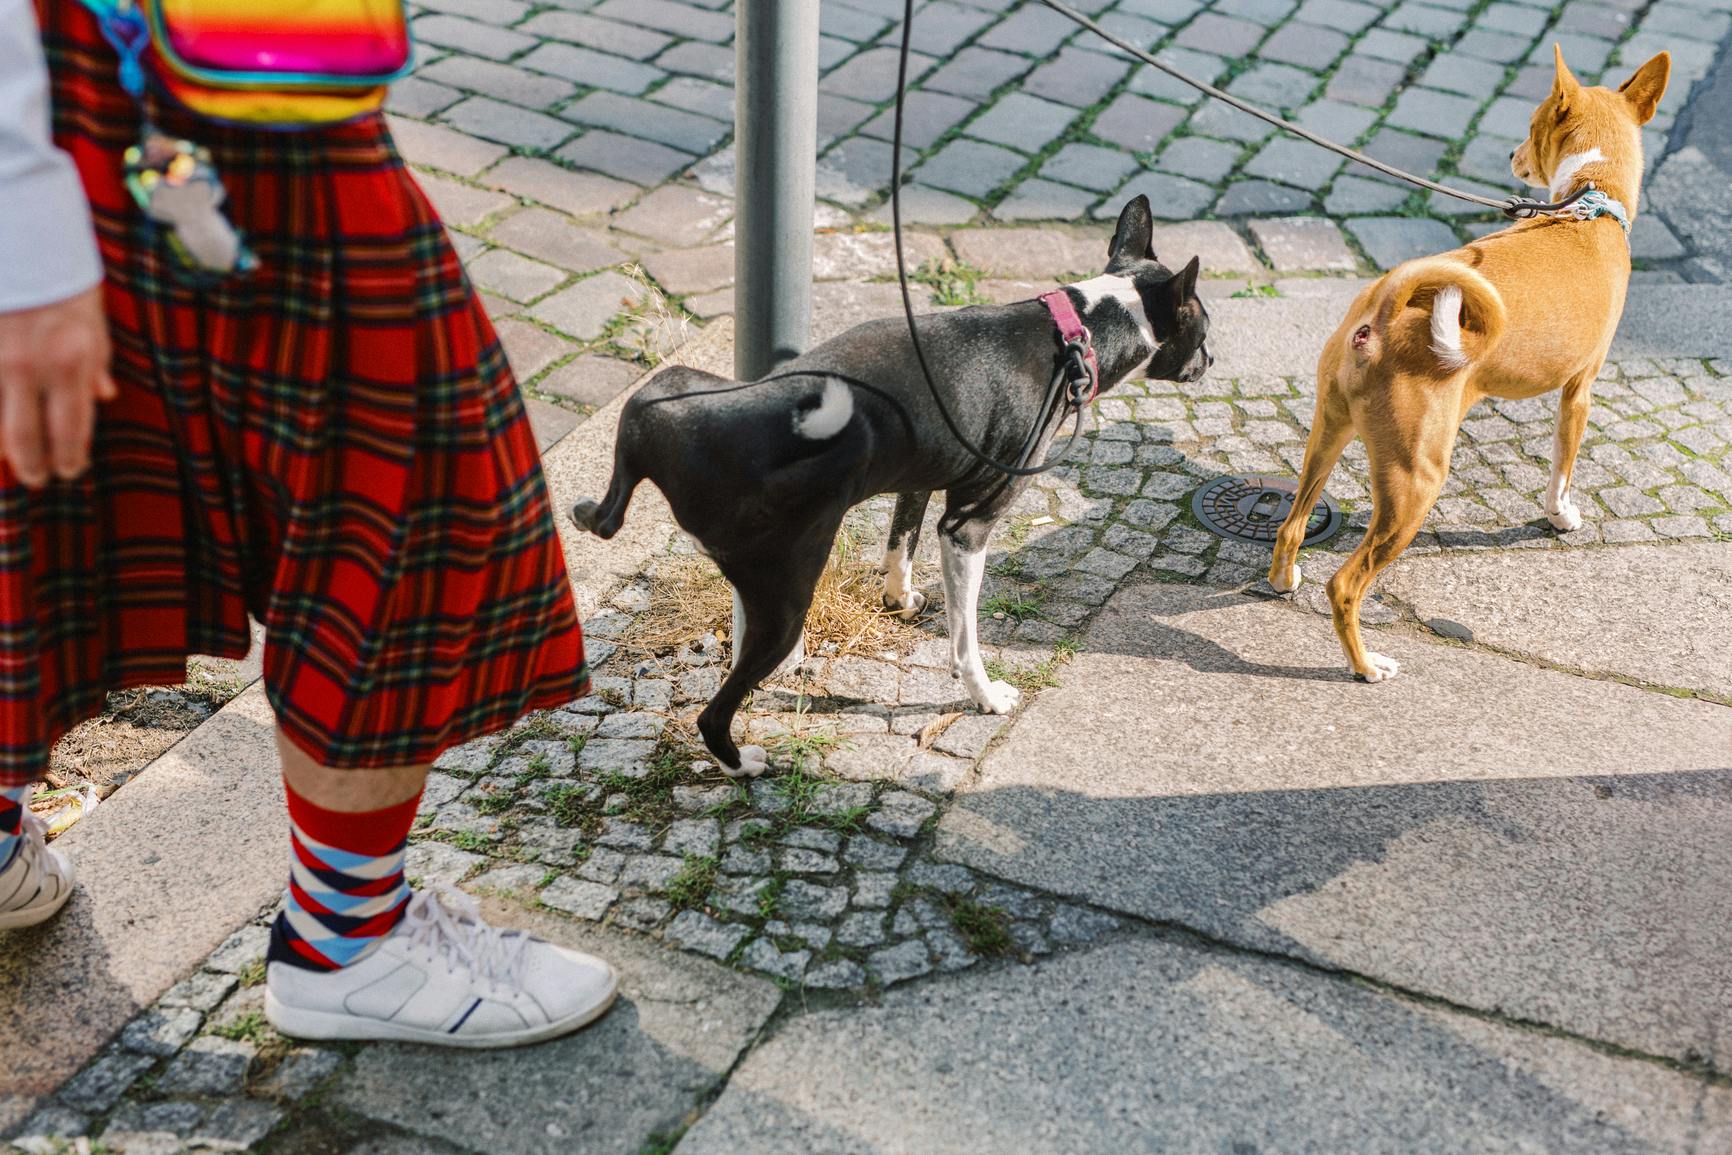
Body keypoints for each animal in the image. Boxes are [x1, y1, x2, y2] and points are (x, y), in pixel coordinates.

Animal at [575, 196, 1212, 775]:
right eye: (1205, 327)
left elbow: (899, 544)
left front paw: (899, 600)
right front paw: (985, 696)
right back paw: (742, 765)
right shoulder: (968, 526)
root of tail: (661, 433)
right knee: (714, 713)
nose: (1211, 359)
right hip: (784, 599)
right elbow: (965, 636)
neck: (1072, 334)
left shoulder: (924, 473)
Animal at [1267, 45, 1669, 682]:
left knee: (1292, 526)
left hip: (1327, 437)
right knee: (1346, 587)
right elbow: (1562, 470)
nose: (1511, 154)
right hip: (1416, 484)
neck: (1589, 202)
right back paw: (1366, 666)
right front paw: (1561, 517)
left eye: (1528, 126)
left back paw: (1284, 581)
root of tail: (1384, 316)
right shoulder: (1579, 391)